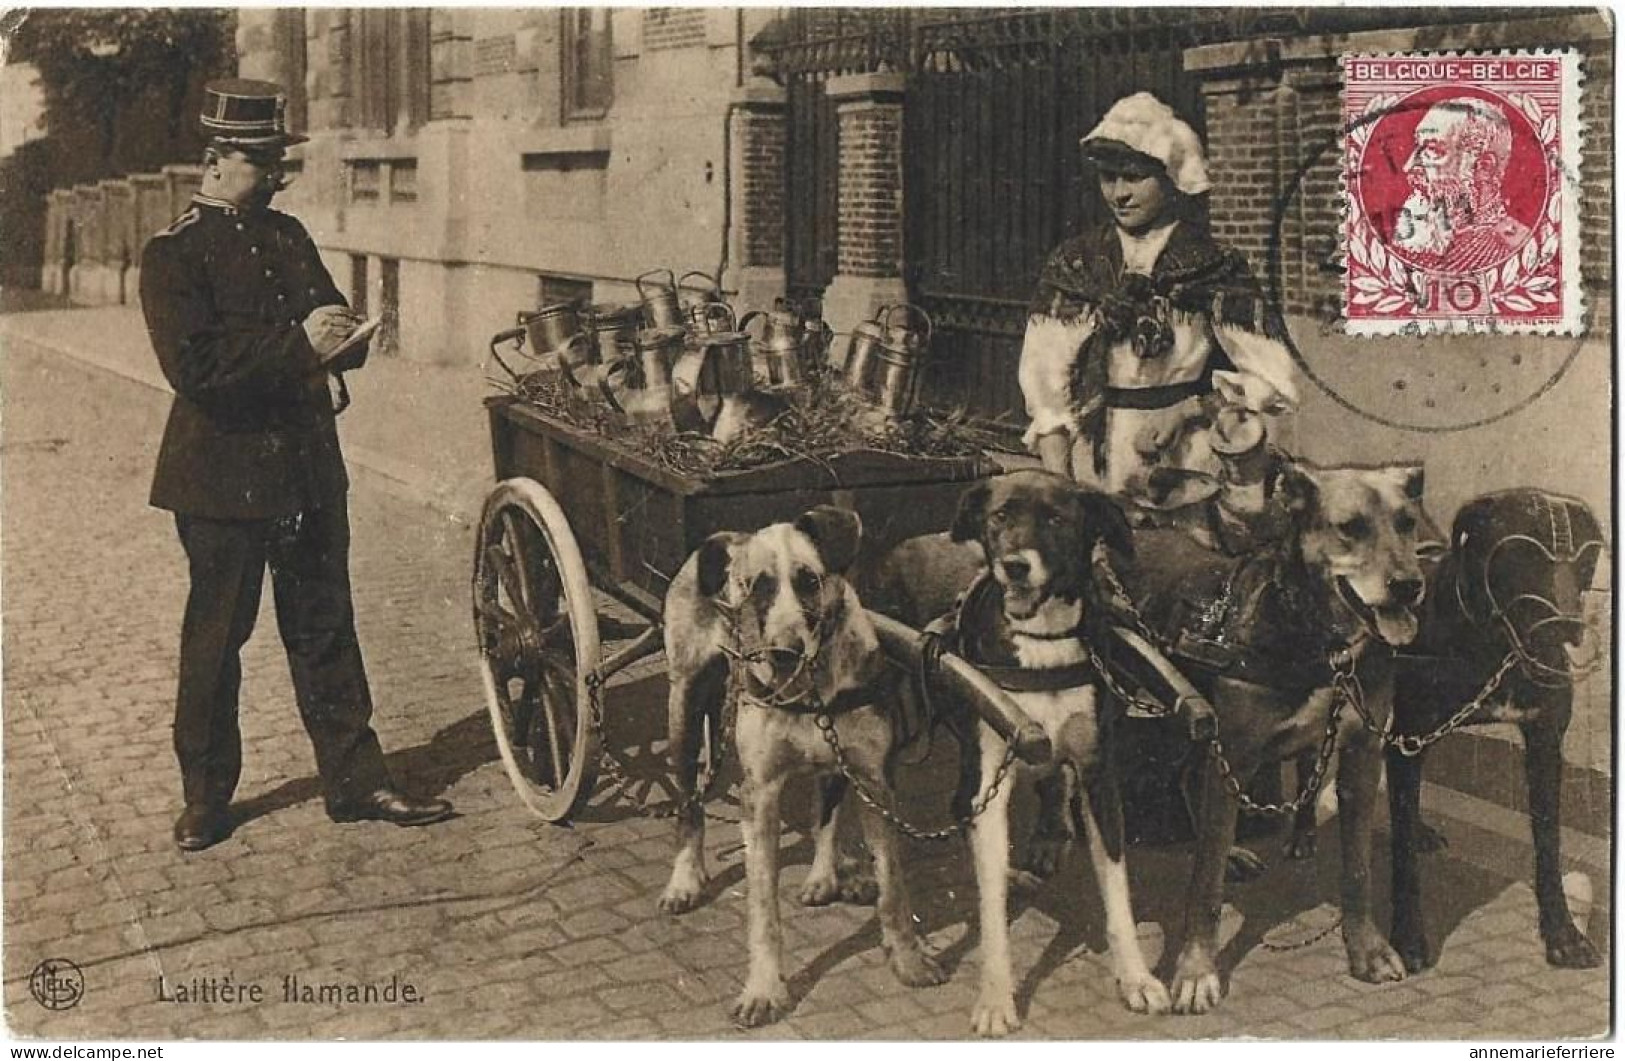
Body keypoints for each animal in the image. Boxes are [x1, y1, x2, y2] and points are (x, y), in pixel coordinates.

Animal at [656, 503, 949, 1026]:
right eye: (757, 587)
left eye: (809, 580)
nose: (784, 651)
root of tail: (721, 535)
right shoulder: (761, 794)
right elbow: (763, 910)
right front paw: (764, 989)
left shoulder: (875, 780)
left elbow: (893, 886)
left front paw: (908, 960)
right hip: (684, 708)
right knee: (689, 804)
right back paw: (685, 879)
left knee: (826, 808)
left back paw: (824, 876)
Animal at [1131, 458, 1436, 1013]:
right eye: (1350, 527)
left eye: (1406, 523)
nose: (1408, 585)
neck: (1321, 644)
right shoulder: (1234, 754)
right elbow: (1203, 887)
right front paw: (1196, 971)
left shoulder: (1362, 756)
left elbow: (1358, 871)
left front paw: (1367, 951)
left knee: (1190, 778)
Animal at [1378, 487, 1605, 968]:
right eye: (1521, 551)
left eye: (1586, 553)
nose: (1563, 624)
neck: (1494, 647)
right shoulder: (1407, 739)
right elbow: (1402, 858)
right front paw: (1407, 937)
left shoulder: (1545, 744)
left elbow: (1548, 842)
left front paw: (1563, 934)